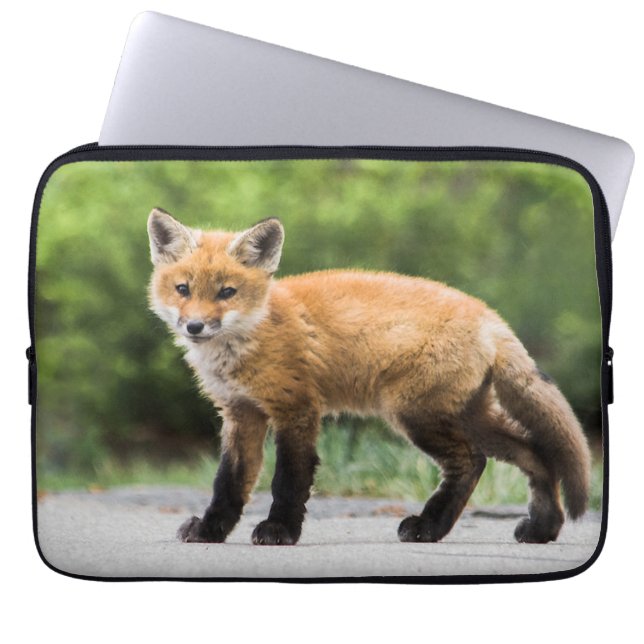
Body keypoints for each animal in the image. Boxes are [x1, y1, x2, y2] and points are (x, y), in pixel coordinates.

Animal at [147, 207, 592, 546]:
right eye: (183, 289)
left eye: (227, 293)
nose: (195, 327)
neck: (252, 337)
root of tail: (489, 316)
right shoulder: (241, 414)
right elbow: (229, 484)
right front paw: (210, 530)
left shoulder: (297, 409)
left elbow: (288, 480)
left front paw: (280, 530)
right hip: (468, 416)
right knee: (534, 453)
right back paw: (540, 528)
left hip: (416, 414)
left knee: (472, 462)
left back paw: (428, 526)